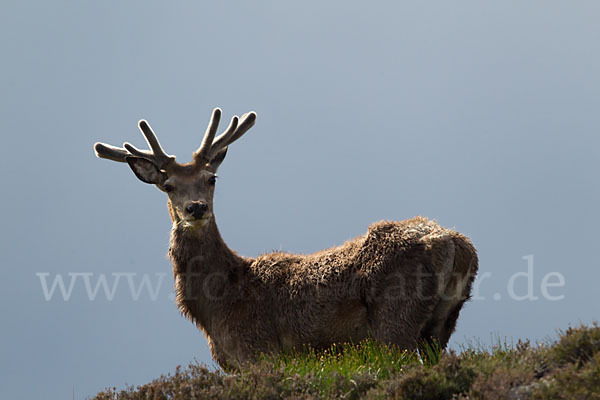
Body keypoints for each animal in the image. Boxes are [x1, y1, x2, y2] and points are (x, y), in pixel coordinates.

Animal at [94, 108, 478, 370]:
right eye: (169, 185)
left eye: (211, 179)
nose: (196, 208)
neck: (218, 306)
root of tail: (454, 243)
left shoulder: (260, 351)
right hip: (441, 324)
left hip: (394, 321)